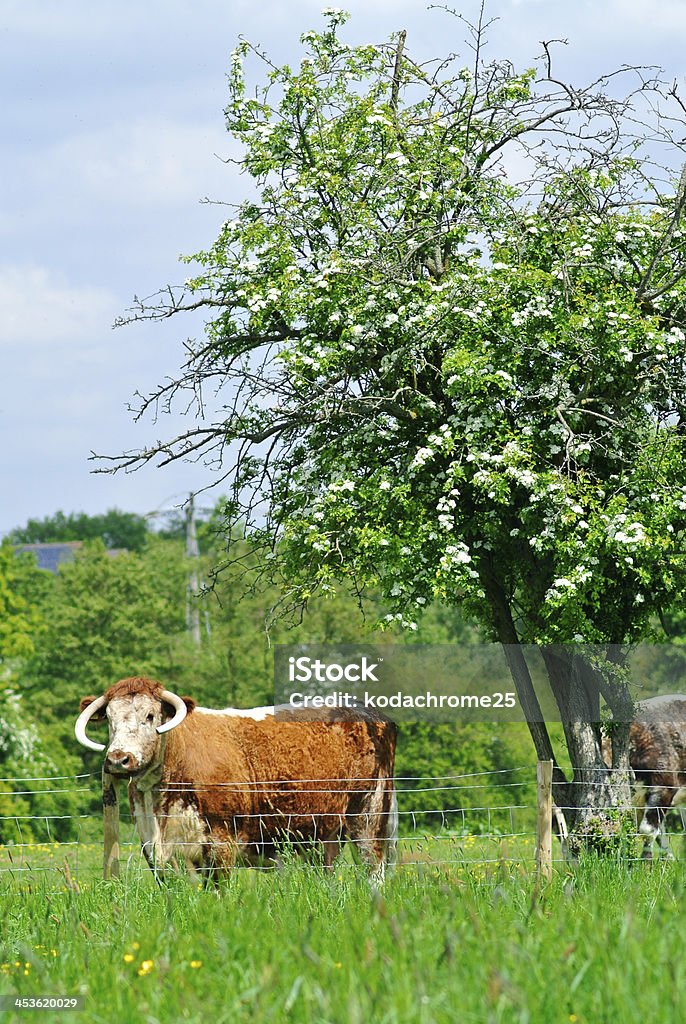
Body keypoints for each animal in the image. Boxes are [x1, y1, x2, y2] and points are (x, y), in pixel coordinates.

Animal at [74, 679, 397, 880]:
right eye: (110, 720)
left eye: (151, 716)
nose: (119, 759)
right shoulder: (155, 850)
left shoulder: (220, 843)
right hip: (323, 831)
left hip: (369, 816)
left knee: (373, 869)